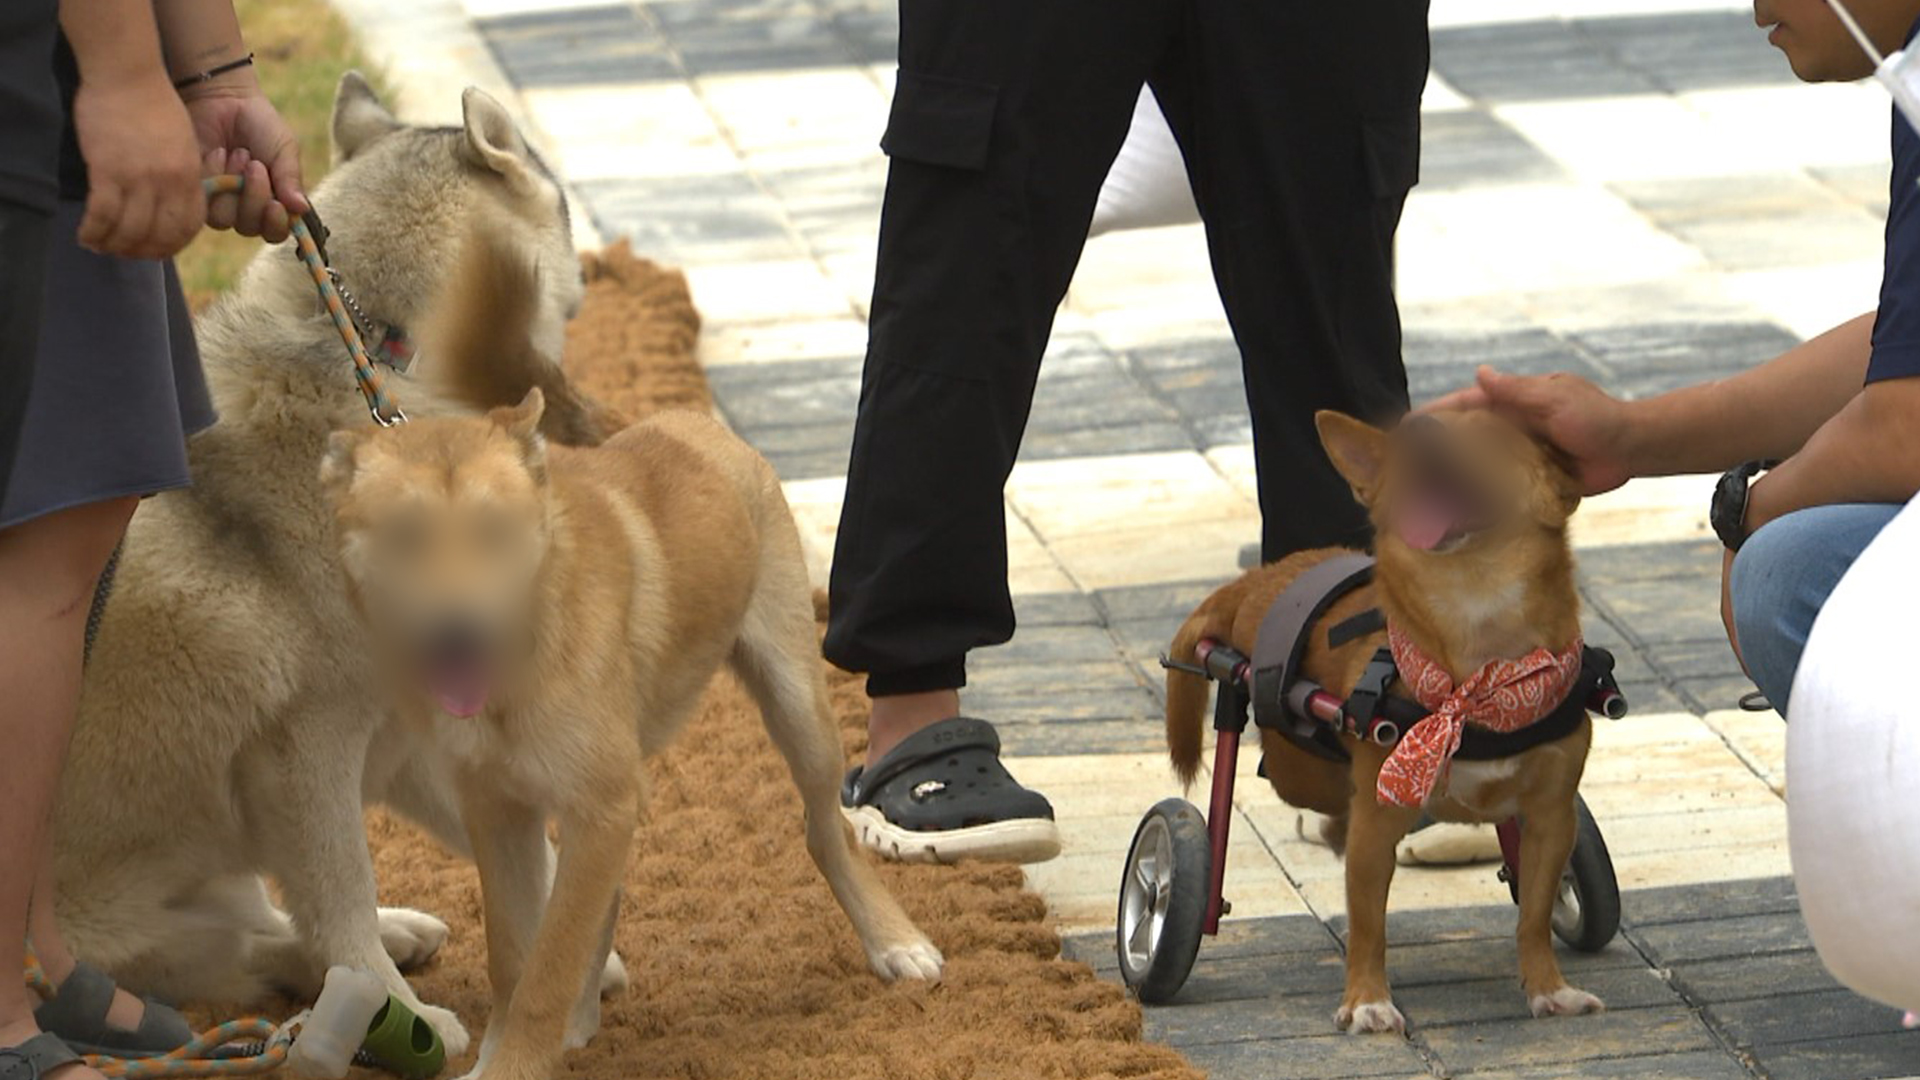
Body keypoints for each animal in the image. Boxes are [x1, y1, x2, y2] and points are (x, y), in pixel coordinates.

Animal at [322, 233, 944, 1076]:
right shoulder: (502, 813)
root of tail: (680, 420)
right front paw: (513, 1046)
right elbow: (515, 955)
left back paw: (892, 940)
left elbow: (546, 966)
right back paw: (587, 1011)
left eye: (493, 531)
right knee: (609, 892)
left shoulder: (598, 802)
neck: (524, 653)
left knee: (826, 830)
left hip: (793, 703)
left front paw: (519, 1058)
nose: (458, 630)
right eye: (405, 536)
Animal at [1167, 407, 1605, 1030]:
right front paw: (1368, 1001)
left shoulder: (1551, 818)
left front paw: (1549, 987)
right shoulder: (1376, 825)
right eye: (1404, 438)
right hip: (1296, 763)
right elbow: (1368, 923)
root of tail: (1256, 581)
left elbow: (1535, 914)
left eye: (1494, 434)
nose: (1423, 429)